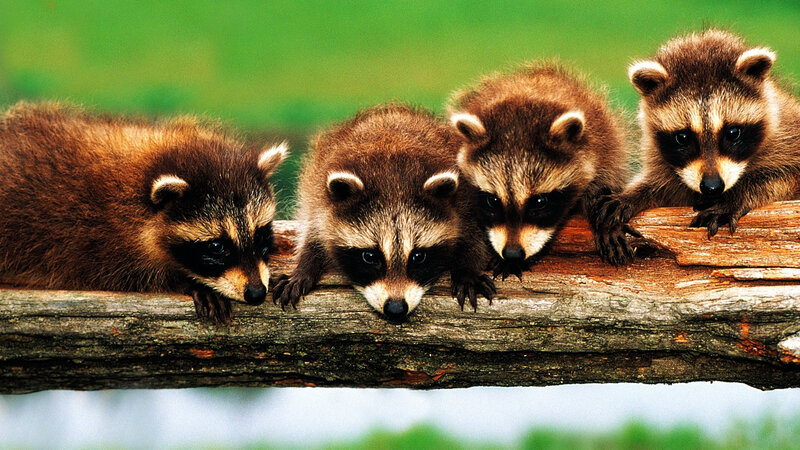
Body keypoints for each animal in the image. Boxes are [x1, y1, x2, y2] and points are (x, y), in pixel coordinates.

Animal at [0, 102, 288, 324]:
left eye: (260, 235)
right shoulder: (97, 240)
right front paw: (188, 282)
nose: (256, 293)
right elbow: (131, 276)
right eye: (217, 246)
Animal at [272, 104, 495, 321]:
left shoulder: (464, 201)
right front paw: (304, 267)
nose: (396, 309)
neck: (393, 180)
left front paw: (467, 270)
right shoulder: (318, 201)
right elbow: (314, 234)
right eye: (370, 256)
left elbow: (473, 237)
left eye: (418, 256)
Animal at [592, 29, 800, 265]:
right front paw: (631, 195)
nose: (712, 187)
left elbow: (784, 175)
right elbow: (663, 187)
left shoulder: (788, 136)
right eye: (683, 137)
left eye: (732, 133)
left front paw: (734, 197)